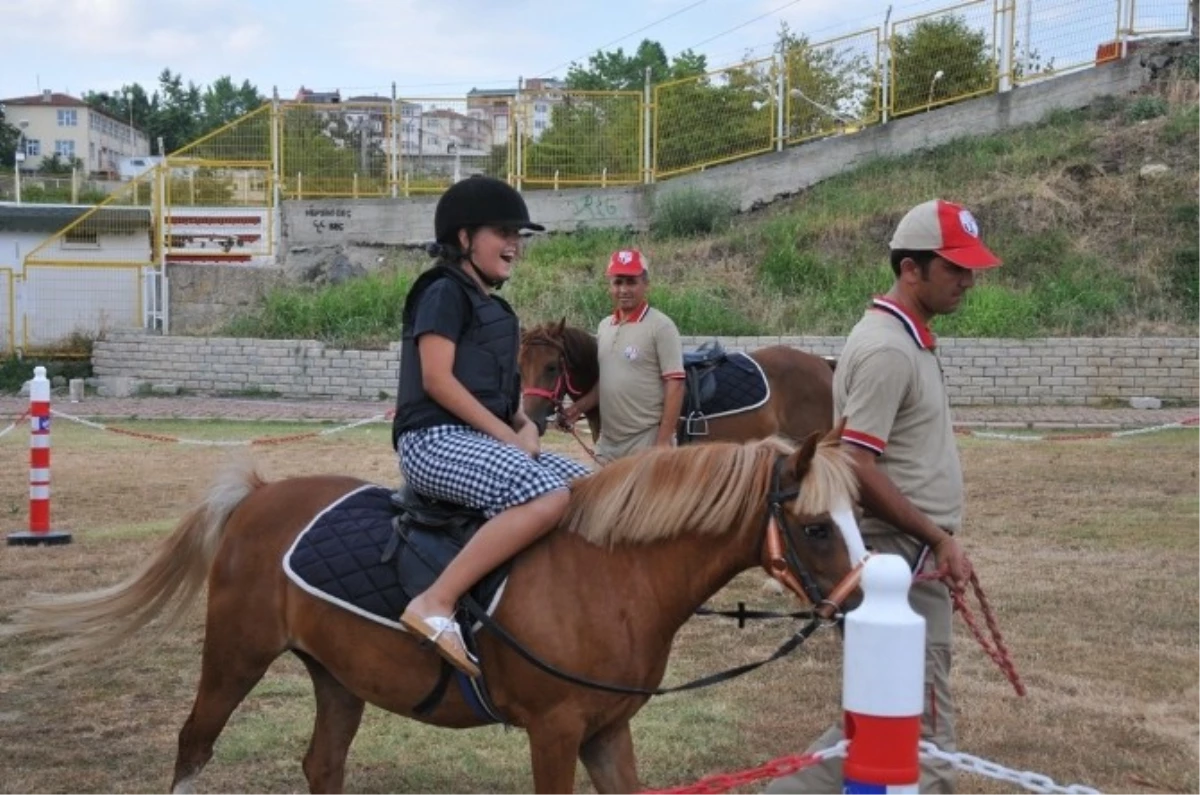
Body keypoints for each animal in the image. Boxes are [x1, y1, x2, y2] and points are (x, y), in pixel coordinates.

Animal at [0, 437, 864, 795]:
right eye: (817, 526)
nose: (858, 597)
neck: (610, 571)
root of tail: (259, 495)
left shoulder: (606, 732)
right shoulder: (555, 733)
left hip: (337, 676)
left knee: (321, 764)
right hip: (235, 657)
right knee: (193, 747)